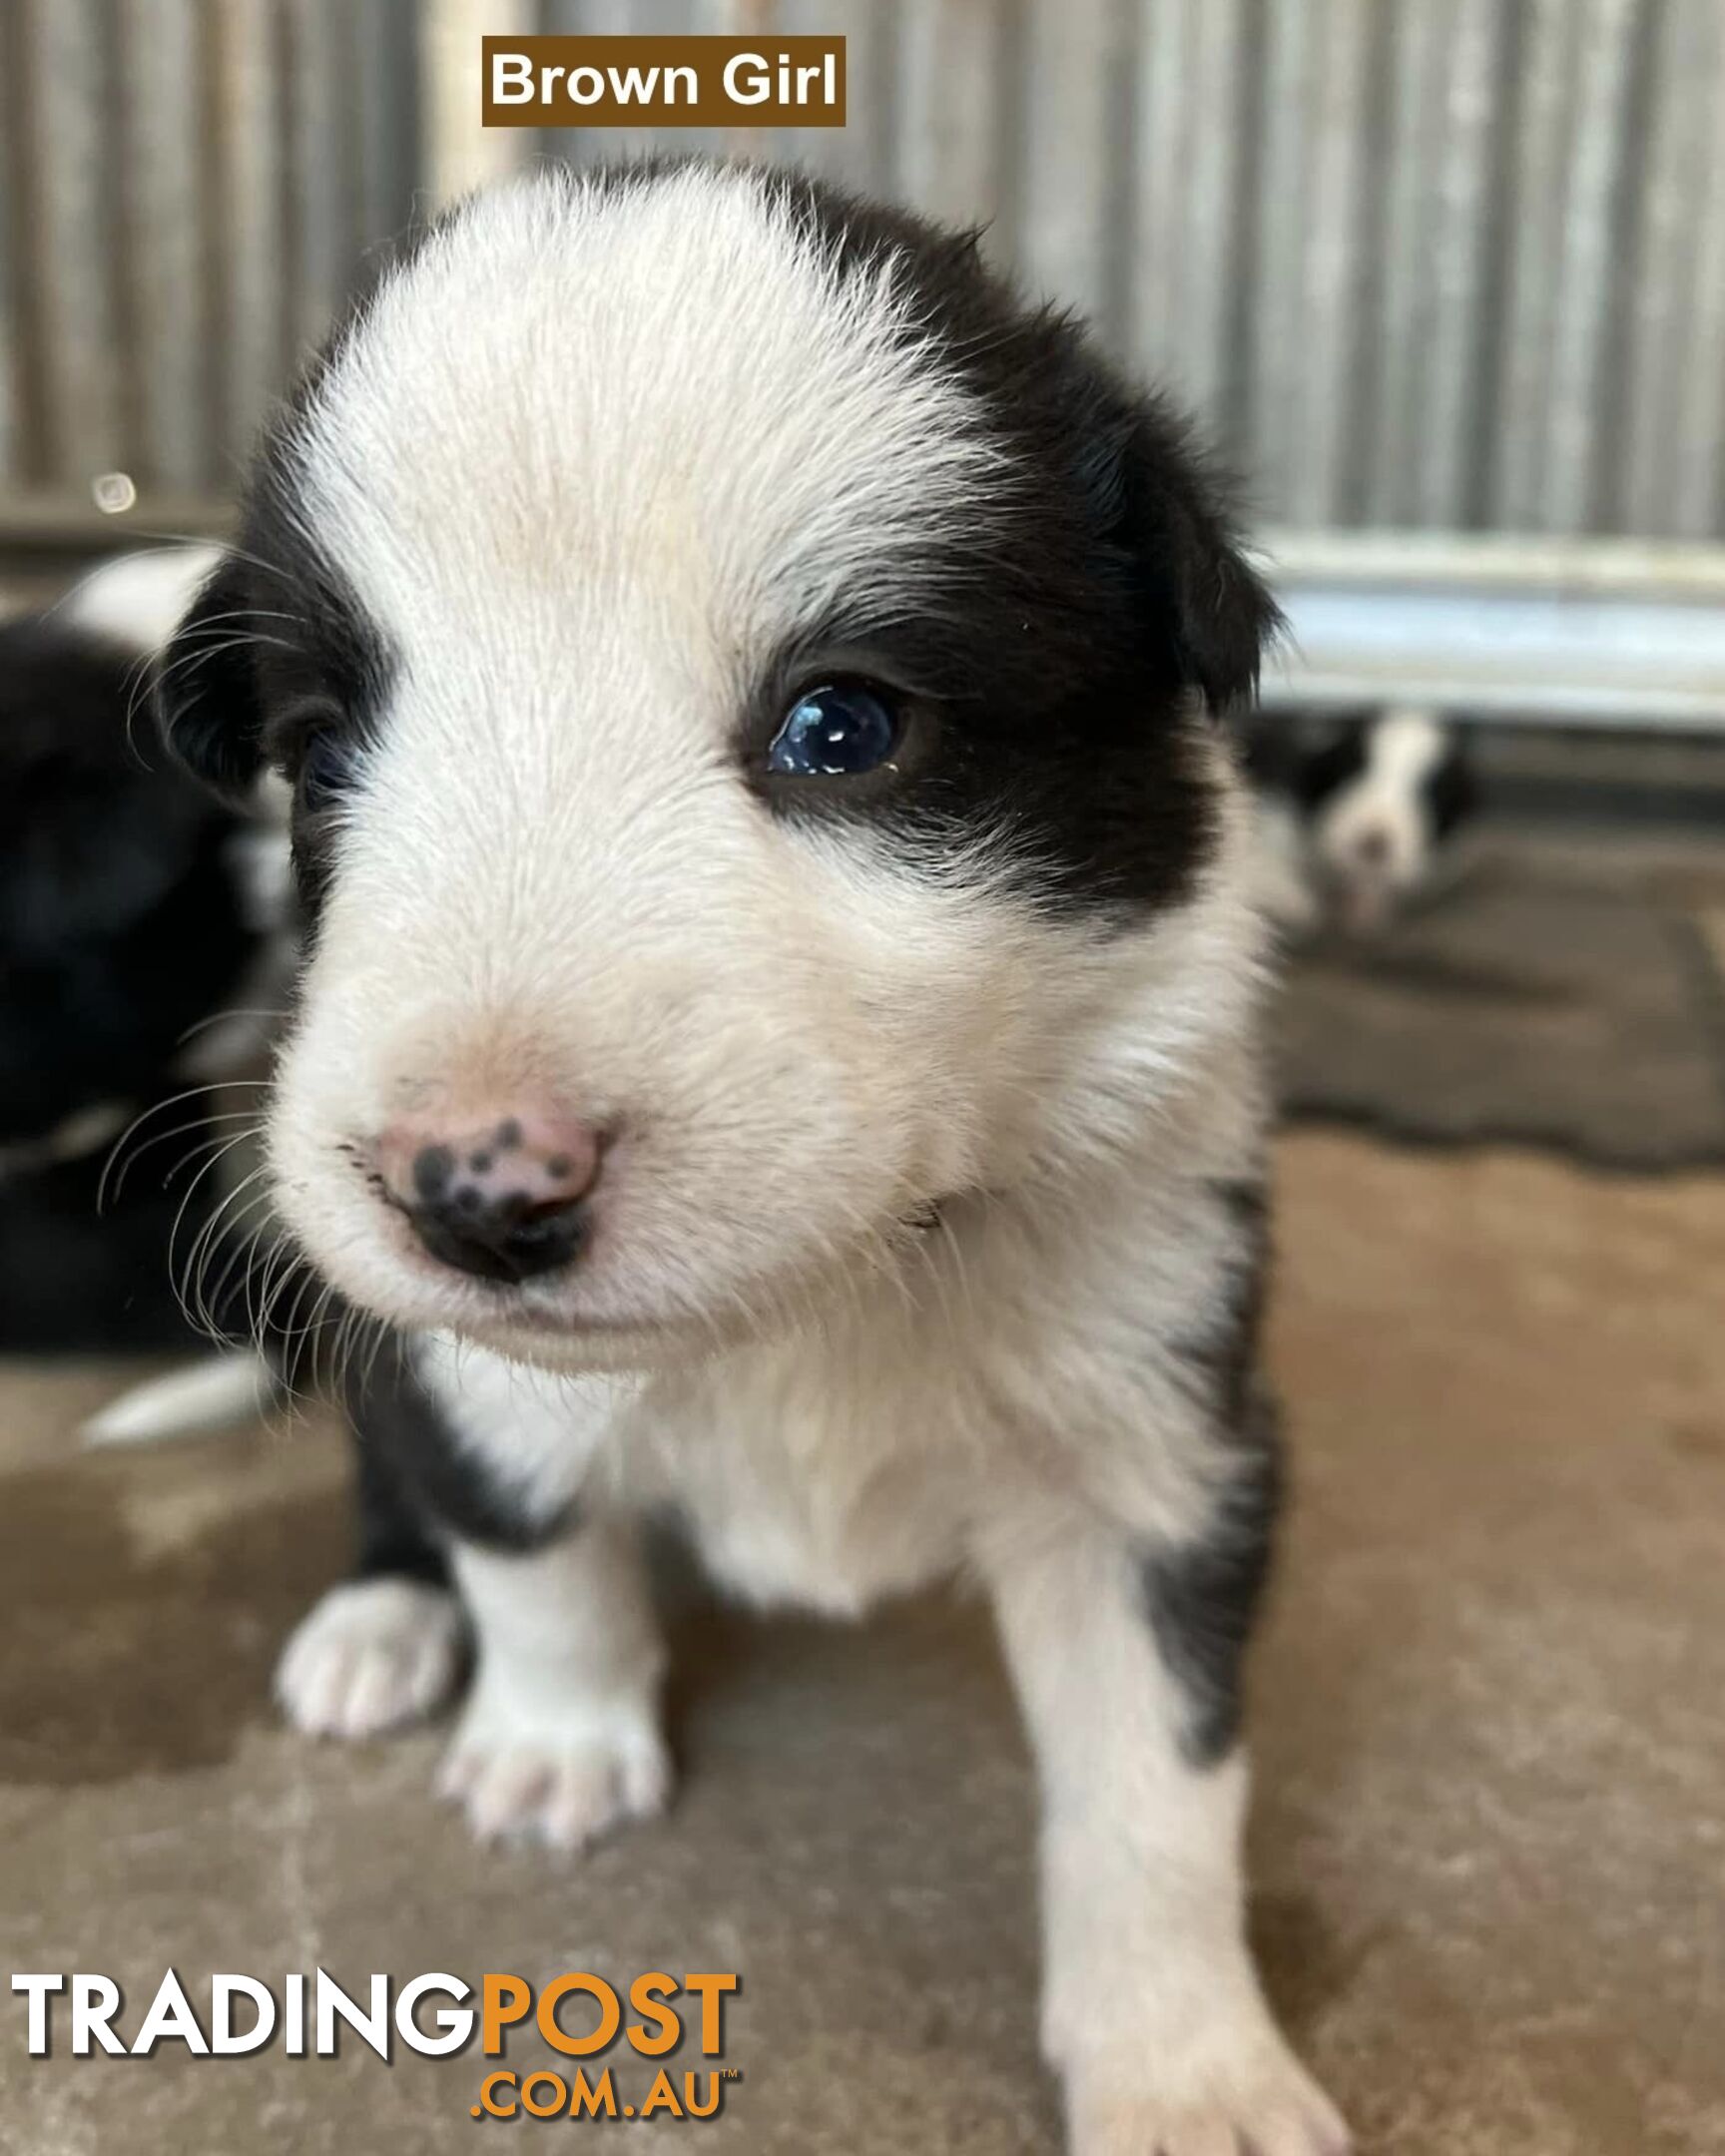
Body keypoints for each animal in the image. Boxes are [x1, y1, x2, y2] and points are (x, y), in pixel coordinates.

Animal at [158, 164, 1345, 2156]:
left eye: (840, 726)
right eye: (318, 761)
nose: (473, 1184)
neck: (827, 1296)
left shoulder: (1154, 1411)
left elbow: (1155, 1786)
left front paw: (1188, 2070)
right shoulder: (477, 1380)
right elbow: (531, 1538)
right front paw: (554, 1743)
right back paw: (380, 1626)